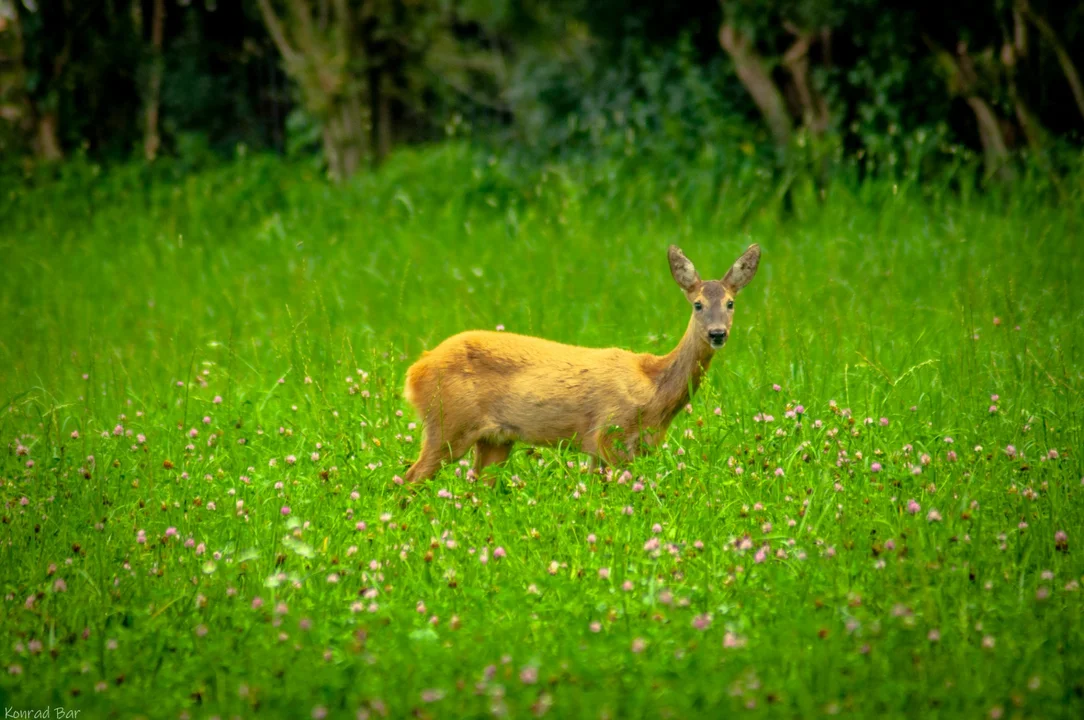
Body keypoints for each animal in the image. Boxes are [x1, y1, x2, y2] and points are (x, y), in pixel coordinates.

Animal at [401, 242, 763, 483]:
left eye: (730, 303)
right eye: (698, 304)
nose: (717, 333)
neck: (654, 390)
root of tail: (414, 371)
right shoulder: (609, 434)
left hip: (494, 440)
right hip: (447, 423)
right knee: (409, 479)